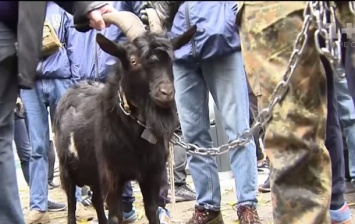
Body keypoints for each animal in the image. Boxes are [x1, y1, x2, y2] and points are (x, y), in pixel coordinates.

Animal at [53, 10, 197, 224]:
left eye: (171, 60)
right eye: (134, 60)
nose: (166, 93)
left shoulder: (152, 173)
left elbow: (152, 210)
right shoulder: (113, 174)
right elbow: (115, 216)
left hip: (94, 173)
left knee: (96, 200)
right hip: (66, 167)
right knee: (72, 203)